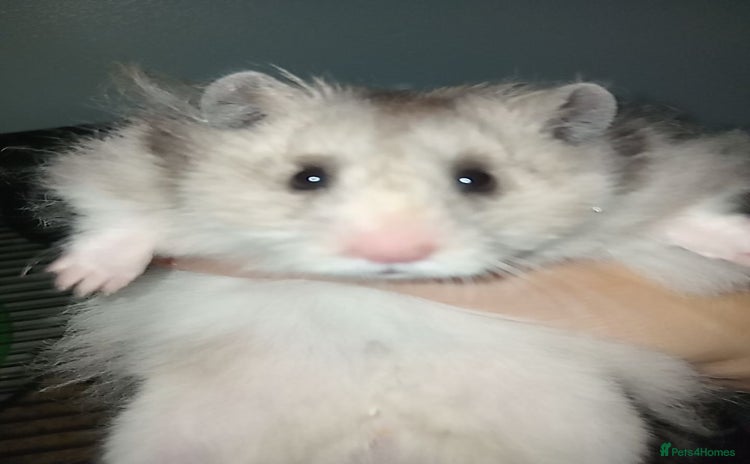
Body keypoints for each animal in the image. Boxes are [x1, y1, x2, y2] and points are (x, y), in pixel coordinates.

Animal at [39, 69, 748, 463]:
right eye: (307, 177)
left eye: (477, 179)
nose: (392, 255)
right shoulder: (122, 167)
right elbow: (122, 215)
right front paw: (82, 279)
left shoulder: (654, 181)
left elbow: (679, 220)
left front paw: (738, 248)